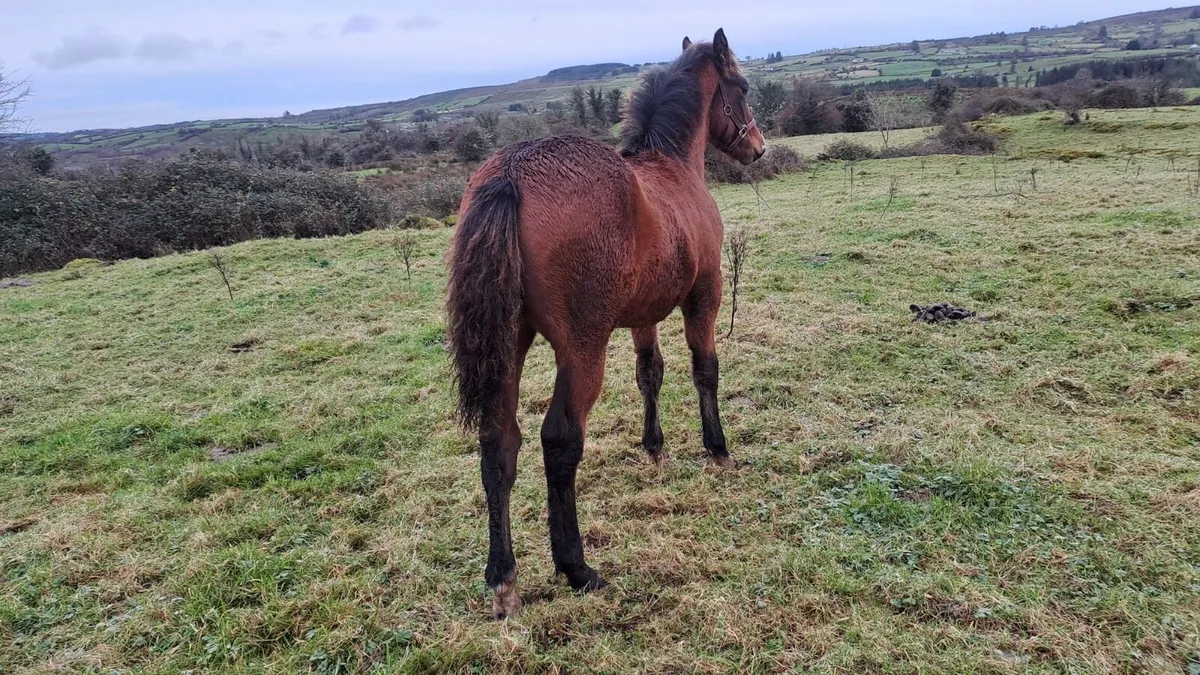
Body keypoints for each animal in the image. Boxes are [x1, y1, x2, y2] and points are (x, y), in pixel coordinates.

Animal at [446, 28, 766, 619]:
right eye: (741, 86)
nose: (758, 147)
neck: (671, 169)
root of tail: (509, 174)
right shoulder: (704, 296)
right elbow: (704, 369)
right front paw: (717, 450)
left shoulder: (644, 315)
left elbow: (650, 372)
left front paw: (655, 448)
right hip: (581, 349)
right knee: (558, 440)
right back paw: (576, 568)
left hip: (510, 345)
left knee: (499, 443)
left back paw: (504, 580)